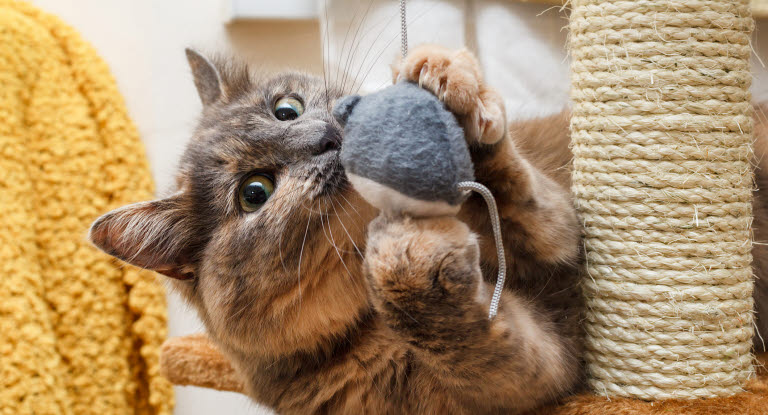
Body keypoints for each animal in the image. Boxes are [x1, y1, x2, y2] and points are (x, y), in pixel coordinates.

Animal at [87, 44, 768, 414]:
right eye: (254, 194)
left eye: (286, 109)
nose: (326, 137)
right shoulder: (526, 375)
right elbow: (466, 334)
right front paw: (409, 261)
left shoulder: (563, 227)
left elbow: (530, 203)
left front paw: (447, 84)